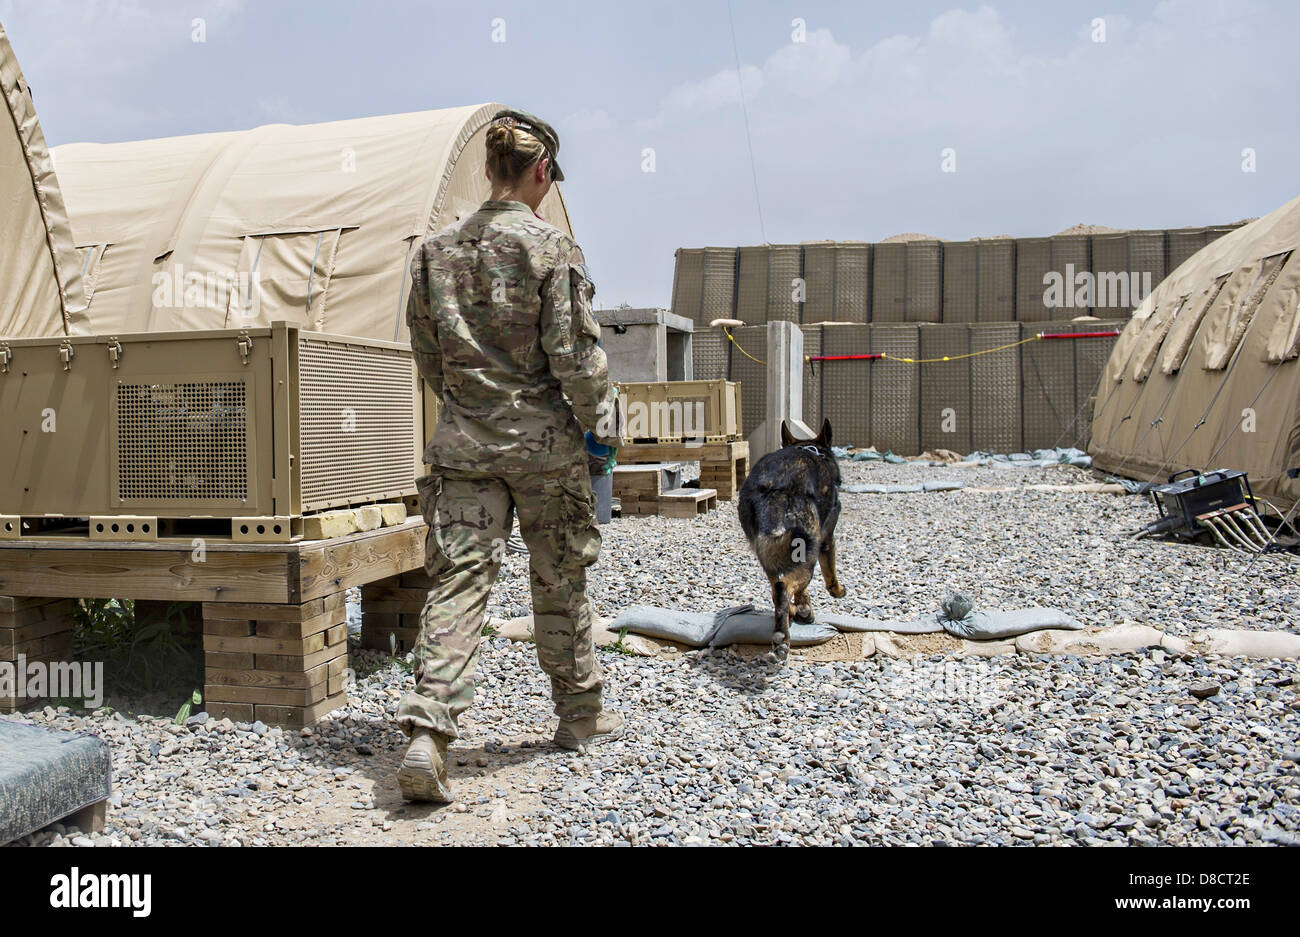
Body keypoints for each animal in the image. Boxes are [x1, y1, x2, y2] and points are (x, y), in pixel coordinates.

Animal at [738, 421, 847, 654]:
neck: (809, 449)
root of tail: (775, 488)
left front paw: (802, 606)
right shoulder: (827, 540)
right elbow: (830, 574)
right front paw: (836, 591)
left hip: (769, 554)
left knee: (776, 589)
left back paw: (793, 615)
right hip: (807, 552)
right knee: (782, 588)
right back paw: (782, 638)